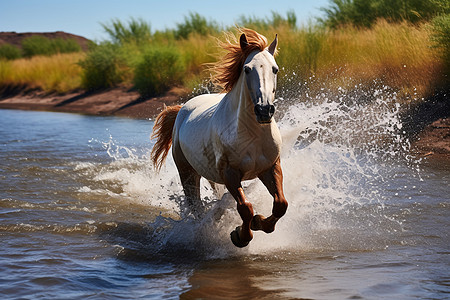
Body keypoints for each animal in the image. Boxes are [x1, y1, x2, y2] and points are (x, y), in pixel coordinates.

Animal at [150, 28, 288, 248]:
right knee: (196, 208)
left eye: (275, 69)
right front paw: (240, 236)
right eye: (247, 69)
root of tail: (182, 109)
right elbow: (245, 208)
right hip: (188, 173)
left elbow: (281, 204)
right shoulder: (230, 173)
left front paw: (259, 222)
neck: (252, 135)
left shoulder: (270, 167)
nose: (264, 110)